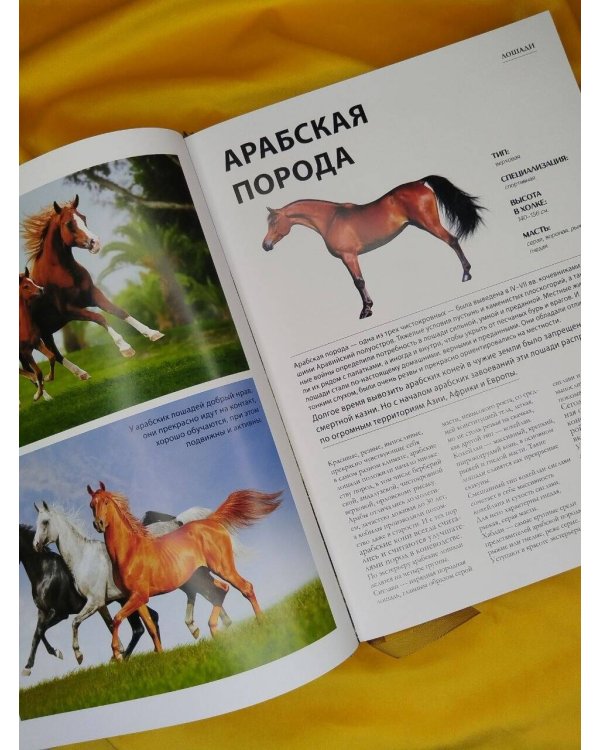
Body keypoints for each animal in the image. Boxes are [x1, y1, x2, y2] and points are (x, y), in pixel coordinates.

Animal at [19, 269, 53, 402]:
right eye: (25, 286)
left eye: (33, 281)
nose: (41, 289)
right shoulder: (25, 352)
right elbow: (38, 372)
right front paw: (37, 395)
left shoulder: (37, 343)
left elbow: (52, 356)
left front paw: (48, 378)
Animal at [21, 195, 164, 368]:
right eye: (68, 223)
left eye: (83, 218)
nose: (95, 243)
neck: (63, 273)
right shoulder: (69, 310)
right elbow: (99, 317)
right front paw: (125, 348)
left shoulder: (93, 295)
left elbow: (118, 311)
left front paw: (153, 333)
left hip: (47, 333)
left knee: (55, 354)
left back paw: (83, 373)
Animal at [32, 502, 160, 664]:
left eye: (45, 522)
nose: (35, 545)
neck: (83, 557)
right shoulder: (100, 605)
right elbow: (111, 624)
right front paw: (117, 655)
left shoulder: (94, 602)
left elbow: (75, 622)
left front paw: (79, 655)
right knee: (149, 620)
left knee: (142, 627)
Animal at [88, 482, 282, 661]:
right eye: (91, 505)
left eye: (106, 502)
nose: (99, 524)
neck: (129, 551)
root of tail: (211, 520)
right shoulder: (135, 598)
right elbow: (150, 626)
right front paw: (160, 655)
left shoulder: (140, 596)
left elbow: (117, 618)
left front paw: (117, 654)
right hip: (202, 575)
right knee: (221, 590)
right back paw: (213, 630)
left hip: (222, 568)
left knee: (245, 587)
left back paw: (261, 622)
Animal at [262, 175, 485, 319]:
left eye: (274, 222)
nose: (265, 245)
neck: (331, 219)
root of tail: (419, 182)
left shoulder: (349, 256)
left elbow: (358, 282)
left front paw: (366, 310)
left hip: (430, 224)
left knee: (452, 240)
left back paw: (466, 274)